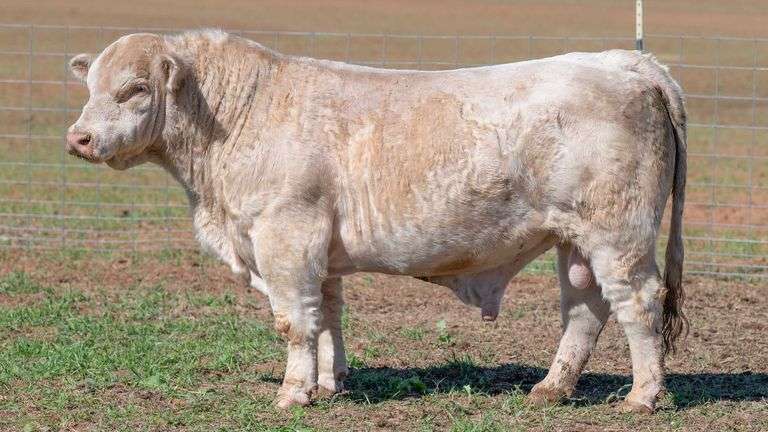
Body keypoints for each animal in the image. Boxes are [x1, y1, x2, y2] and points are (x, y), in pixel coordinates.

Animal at [66, 30, 687, 413]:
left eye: (133, 89)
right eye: (90, 87)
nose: (79, 138)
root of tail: (623, 61)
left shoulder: (285, 237)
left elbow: (294, 321)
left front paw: (293, 393)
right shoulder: (318, 251)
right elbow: (327, 317)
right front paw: (328, 383)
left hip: (618, 236)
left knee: (638, 304)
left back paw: (643, 396)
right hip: (574, 241)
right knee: (583, 310)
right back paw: (550, 389)